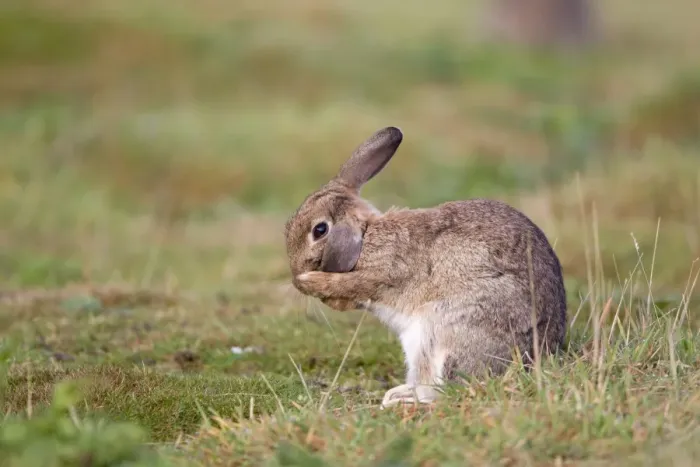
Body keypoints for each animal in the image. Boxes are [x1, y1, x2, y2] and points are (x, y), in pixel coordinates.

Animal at [284, 127, 567, 408]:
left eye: (319, 230)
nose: (295, 272)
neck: (366, 235)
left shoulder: (382, 274)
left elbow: (350, 285)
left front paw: (309, 281)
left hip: (445, 335)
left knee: (446, 389)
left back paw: (401, 400)